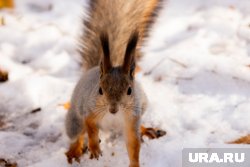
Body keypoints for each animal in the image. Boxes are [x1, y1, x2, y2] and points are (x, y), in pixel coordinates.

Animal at [65, 0, 165, 166]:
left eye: (129, 90)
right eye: (100, 90)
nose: (113, 109)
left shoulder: (132, 118)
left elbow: (133, 144)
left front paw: (135, 163)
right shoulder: (90, 110)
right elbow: (91, 129)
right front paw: (94, 148)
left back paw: (146, 129)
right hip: (75, 120)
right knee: (78, 133)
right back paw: (75, 150)